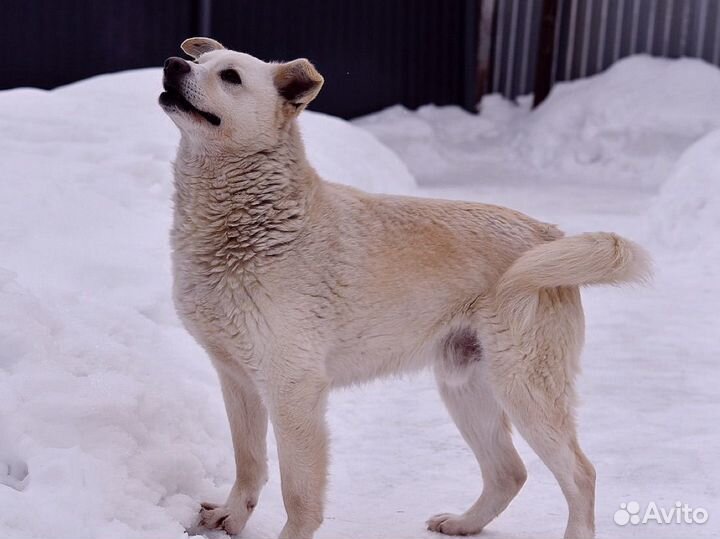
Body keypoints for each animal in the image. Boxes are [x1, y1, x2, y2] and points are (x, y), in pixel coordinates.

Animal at [160, 38, 648, 539]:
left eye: (231, 76)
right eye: (197, 62)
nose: (173, 65)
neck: (254, 223)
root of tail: (546, 232)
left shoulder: (294, 387)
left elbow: (298, 495)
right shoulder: (236, 378)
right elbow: (249, 464)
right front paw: (230, 519)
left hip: (525, 389)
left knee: (580, 474)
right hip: (465, 387)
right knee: (509, 472)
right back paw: (464, 523)